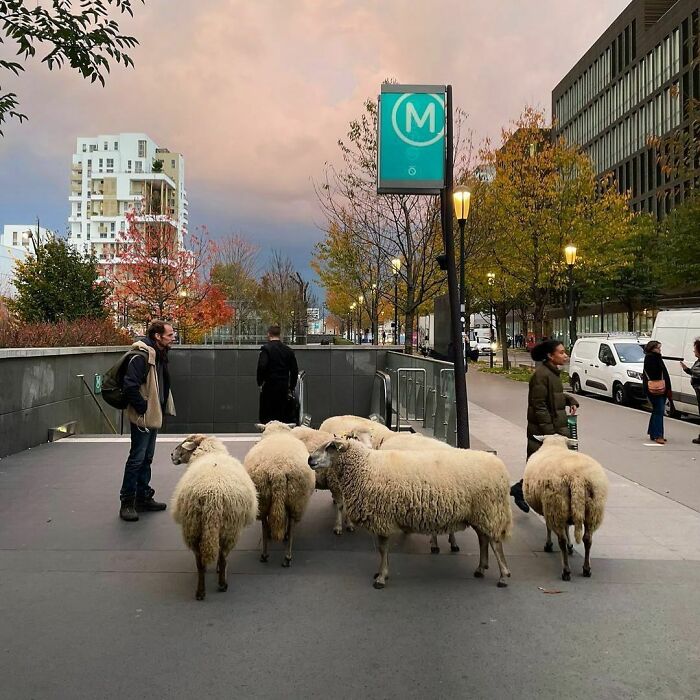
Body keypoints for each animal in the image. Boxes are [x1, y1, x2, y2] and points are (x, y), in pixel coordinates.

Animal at [171, 432, 258, 600]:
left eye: (184, 443)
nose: (171, 455)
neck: (210, 452)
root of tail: (212, 497)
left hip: (193, 527)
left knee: (200, 562)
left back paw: (200, 592)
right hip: (230, 527)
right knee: (223, 556)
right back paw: (222, 584)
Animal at [243, 426, 314, 568]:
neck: (277, 432)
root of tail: (277, 471)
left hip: (264, 498)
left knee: (265, 524)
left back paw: (265, 553)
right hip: (296, 500)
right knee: (290, 526)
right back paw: (287, 556)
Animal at [308, 440, 512, 588]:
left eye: (330, 447)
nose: (310, 459)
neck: (364, 467)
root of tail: (501, 469)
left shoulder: (382, 518)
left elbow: (382, 549)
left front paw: (381, 577)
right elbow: (383, 550)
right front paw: (382, 573)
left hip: (489, 511)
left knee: (495, 543)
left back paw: (503, 576)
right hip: (480, 514)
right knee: (483, 539)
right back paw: (481, 568)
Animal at [524, 438, 608, 580]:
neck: (554, 444)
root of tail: (577, 478)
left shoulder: (549, 509)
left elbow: (550, 527)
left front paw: (549, 545)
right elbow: (568, 527)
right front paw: (571, 546)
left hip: (556, 505)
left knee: (561, 540)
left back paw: (566, 570)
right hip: (593, 510)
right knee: (588, 539)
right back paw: (586, 569)